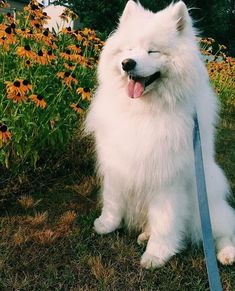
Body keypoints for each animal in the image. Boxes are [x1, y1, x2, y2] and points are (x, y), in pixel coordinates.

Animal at [86, 0, 235, 270]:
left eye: (152, 52)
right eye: (129, 49)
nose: (127, 63)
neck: (143, 111)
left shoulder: (168, 179)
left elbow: (166, 221)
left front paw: (157, 254)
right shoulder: (117, 164)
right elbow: (112, 200)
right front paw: (106, 224)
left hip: (207, 208)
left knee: (223, 230)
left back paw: (227, 254)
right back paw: (144, 234)